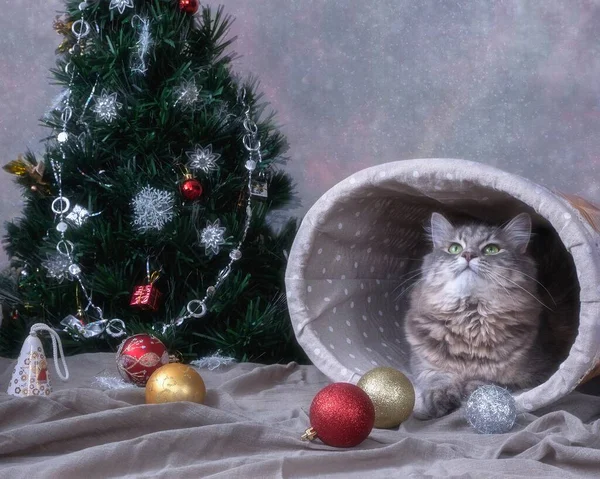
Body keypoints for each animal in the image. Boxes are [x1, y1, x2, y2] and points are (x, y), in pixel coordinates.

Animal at [406, 214, 556, 420]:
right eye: (455, 248)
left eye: (491, 249)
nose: (468, 255)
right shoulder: (426, 365)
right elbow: (437, 380)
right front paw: (441, 399)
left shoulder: (538, 374)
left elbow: (490, 382)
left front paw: (472, 389)